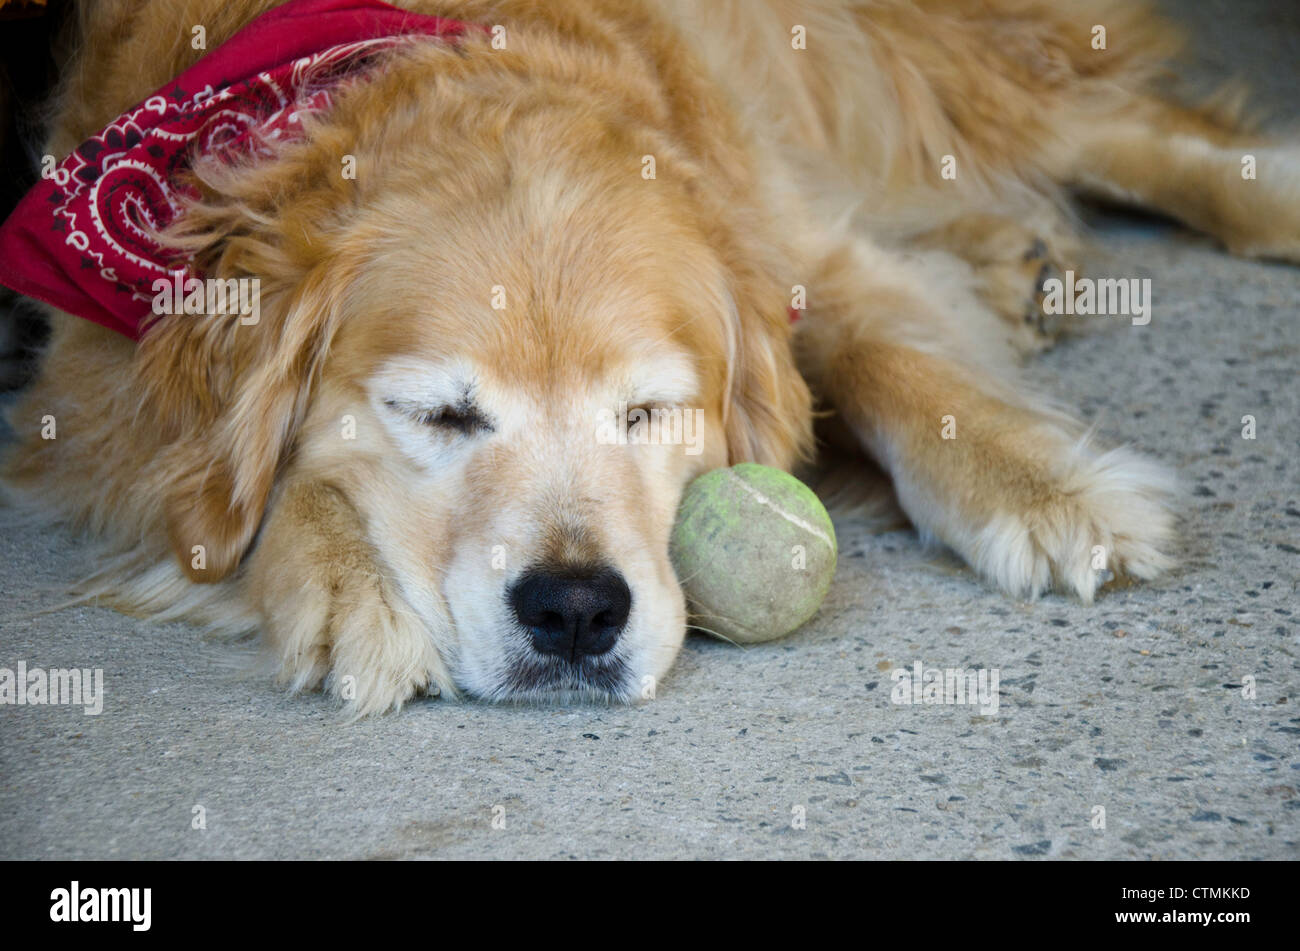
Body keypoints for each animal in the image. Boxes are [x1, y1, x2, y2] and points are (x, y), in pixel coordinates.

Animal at [2, 1, 1300, 711]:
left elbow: (887, 354)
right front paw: (343, 584)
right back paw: (1005, 258)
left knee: (1100, 119)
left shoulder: (774, 229)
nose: (575, 612)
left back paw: (1262, 196)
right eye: (438, 417)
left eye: (649, 414)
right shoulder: (90, 384)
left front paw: (1038, 487)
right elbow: (234, 493)